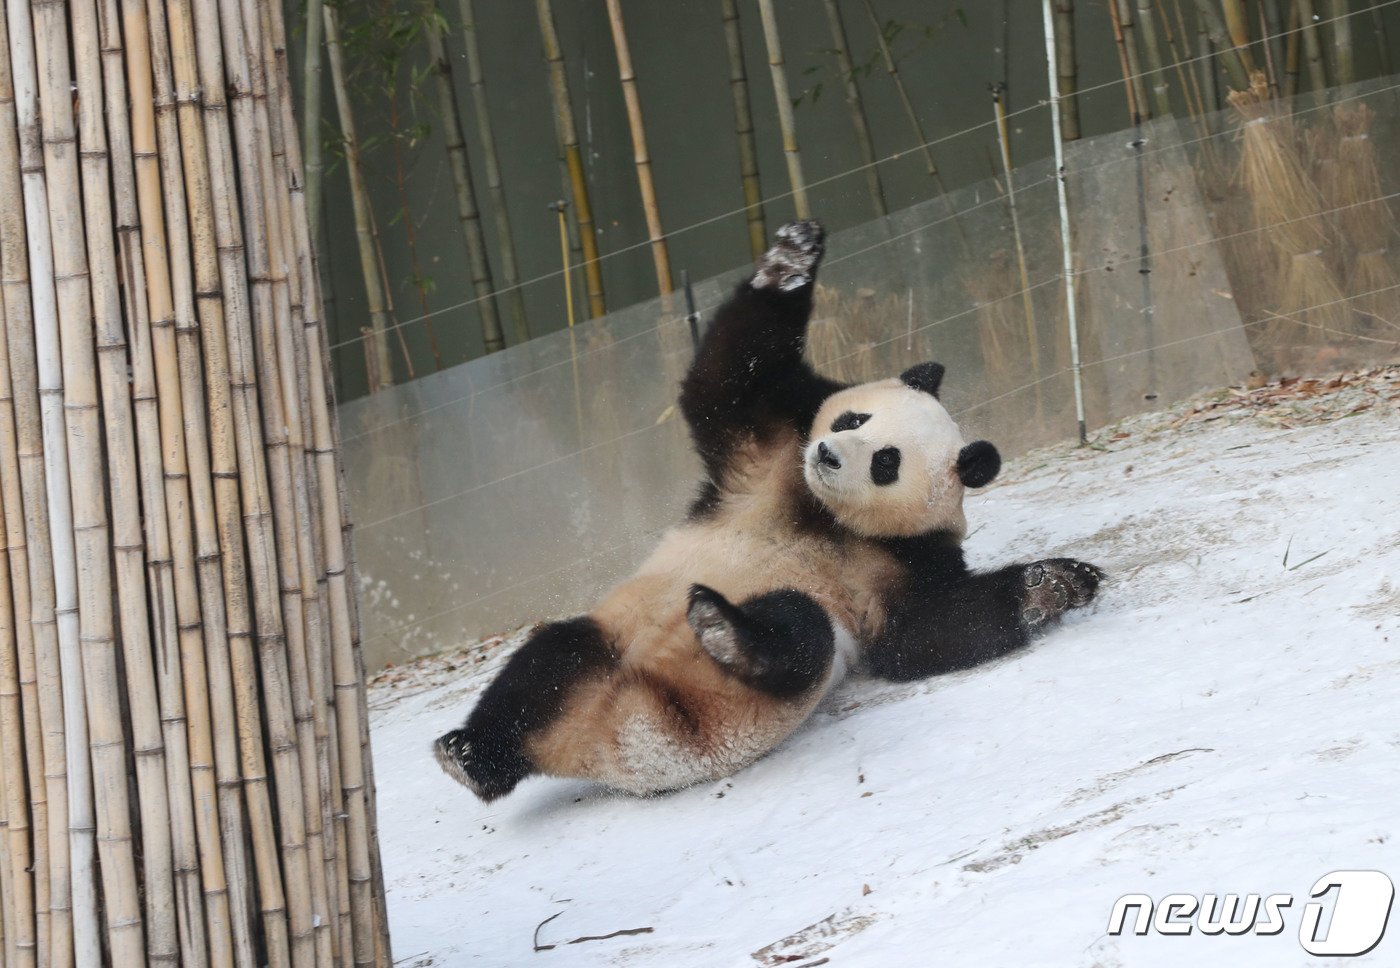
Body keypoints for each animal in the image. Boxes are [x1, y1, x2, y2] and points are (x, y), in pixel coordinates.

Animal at [436, 221, 1103, 801]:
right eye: (852, 420)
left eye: (886, 461)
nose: (829, 455)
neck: (823, 512)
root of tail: (633, 741)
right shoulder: (770, 456)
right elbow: (724, 382)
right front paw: (791, 260)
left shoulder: (902, 558)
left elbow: (924, 632)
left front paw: (1057, 582)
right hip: (604, 648)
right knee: (545, 665)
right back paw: (471, 757)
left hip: (747, 703)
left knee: (799, 633)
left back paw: (724, 631)